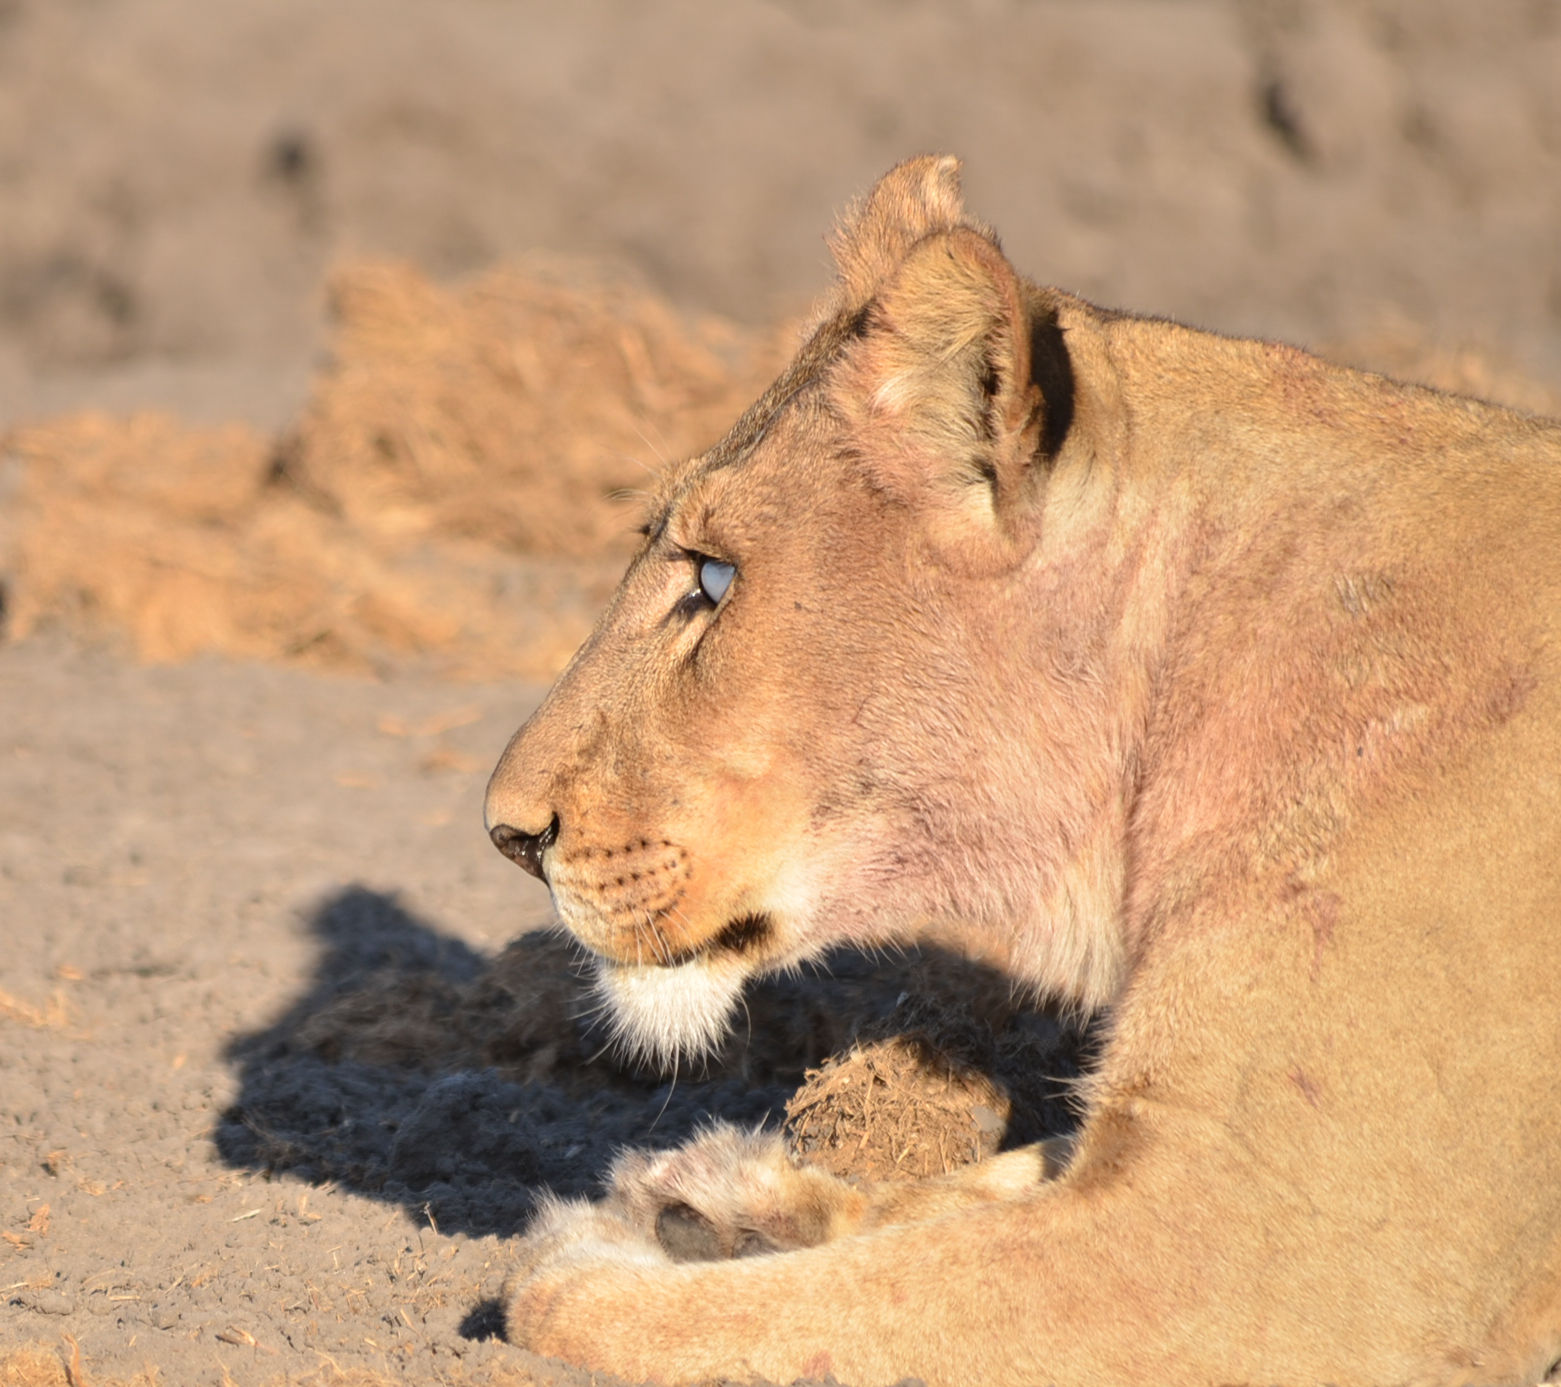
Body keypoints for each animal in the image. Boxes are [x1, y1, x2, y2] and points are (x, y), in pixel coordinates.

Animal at [483, 155, 1561, 1386]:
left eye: (711, 580)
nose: (508, 833)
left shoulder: (1267, 1252)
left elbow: (830, 1309)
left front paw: (596, 1259)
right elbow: (961, 1197)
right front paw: (724, 1206)